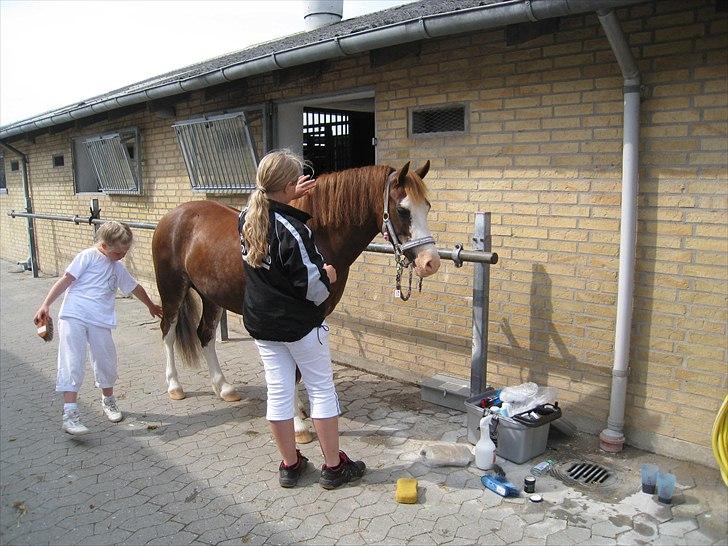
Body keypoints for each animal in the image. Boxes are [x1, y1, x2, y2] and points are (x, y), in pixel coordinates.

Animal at [151, 159, 440, 440]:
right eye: (402, 210)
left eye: (427, 207)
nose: (431, 262)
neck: (319, 236)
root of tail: (174, 215)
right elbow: (290, 372)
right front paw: (299, 425)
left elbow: (298, 371)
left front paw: (300, 410)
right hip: (172, 290)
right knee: (168, 331)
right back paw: (175, 386)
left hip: (211, 296)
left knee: (205, 335)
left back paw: (224, 388)